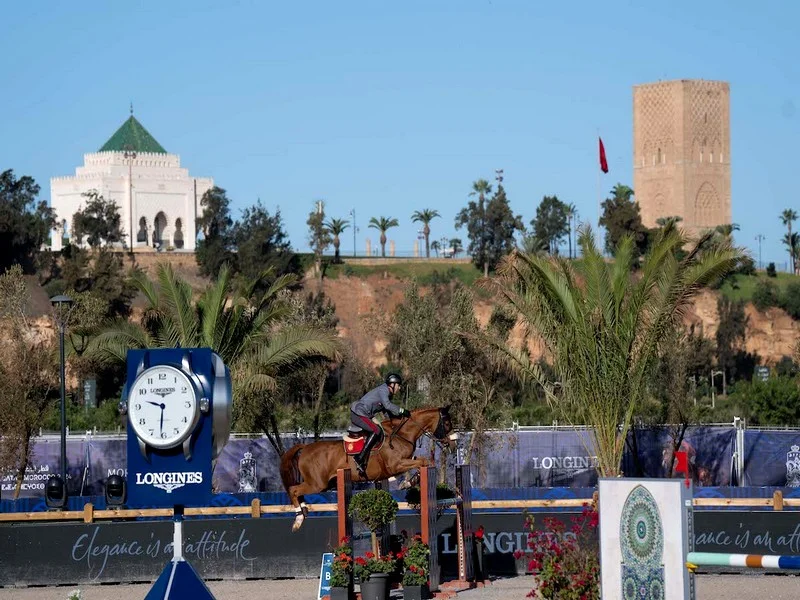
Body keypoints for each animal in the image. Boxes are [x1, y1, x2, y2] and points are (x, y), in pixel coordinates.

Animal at [280, 406, 456, 532]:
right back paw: (298, 519)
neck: (402, 434)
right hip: (318, 484)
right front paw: (406, 483)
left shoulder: (404, 461)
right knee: (294, 490)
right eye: (447, 423)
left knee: (297, 491)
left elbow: (421, 462)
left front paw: (408, 482)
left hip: (324, 484)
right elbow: (424, 461)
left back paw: (304, 512)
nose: (453, 444)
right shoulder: (396, 465)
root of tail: (305, 448)